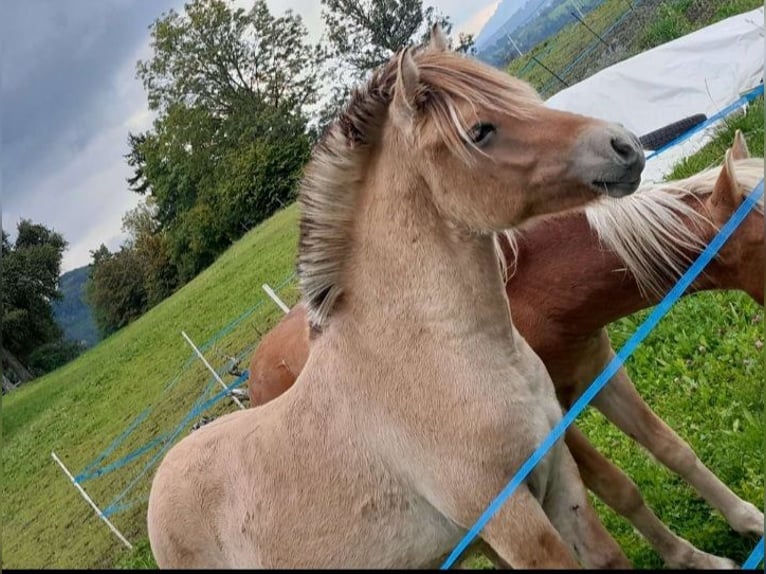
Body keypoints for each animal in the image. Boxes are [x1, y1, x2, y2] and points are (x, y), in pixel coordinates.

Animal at [147, 28, 645, 568]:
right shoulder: (509, 516)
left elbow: (608, 551)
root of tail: (160, 482)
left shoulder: (559, 474)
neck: (435, 356)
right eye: (480, 131)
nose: (623, 145)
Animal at [246, 131, 762, 568]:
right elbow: (620, 488)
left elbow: (673, 450)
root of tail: (254, 372)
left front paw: (744, 524)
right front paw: (689, 558)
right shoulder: (555, 422)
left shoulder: (600, 374)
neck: (538, 291)